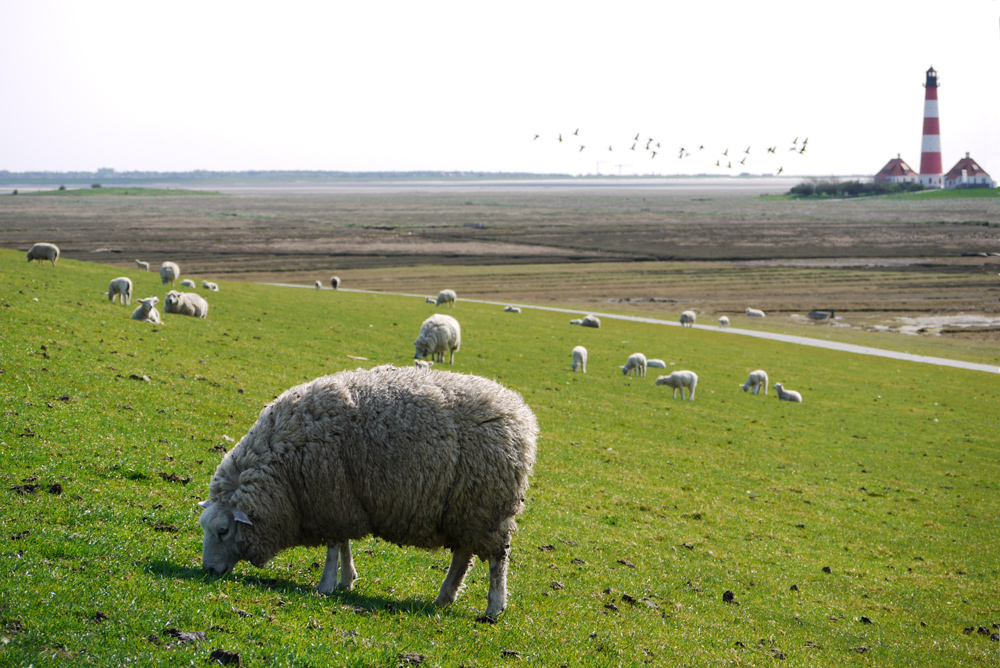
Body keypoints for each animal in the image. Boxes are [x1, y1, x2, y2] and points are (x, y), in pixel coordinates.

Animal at [197, 362, 540, 620]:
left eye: (223, 530)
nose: (209, 570)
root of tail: (521, 415)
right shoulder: (345, 501)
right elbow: (343, 543)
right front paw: (347, 579)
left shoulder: (330, 495)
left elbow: (333, 545)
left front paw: (326, 584)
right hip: (464, 510)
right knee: (462, 555)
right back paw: (444, 597)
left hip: (488, 507)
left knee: (497, 560)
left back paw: (494, 606)